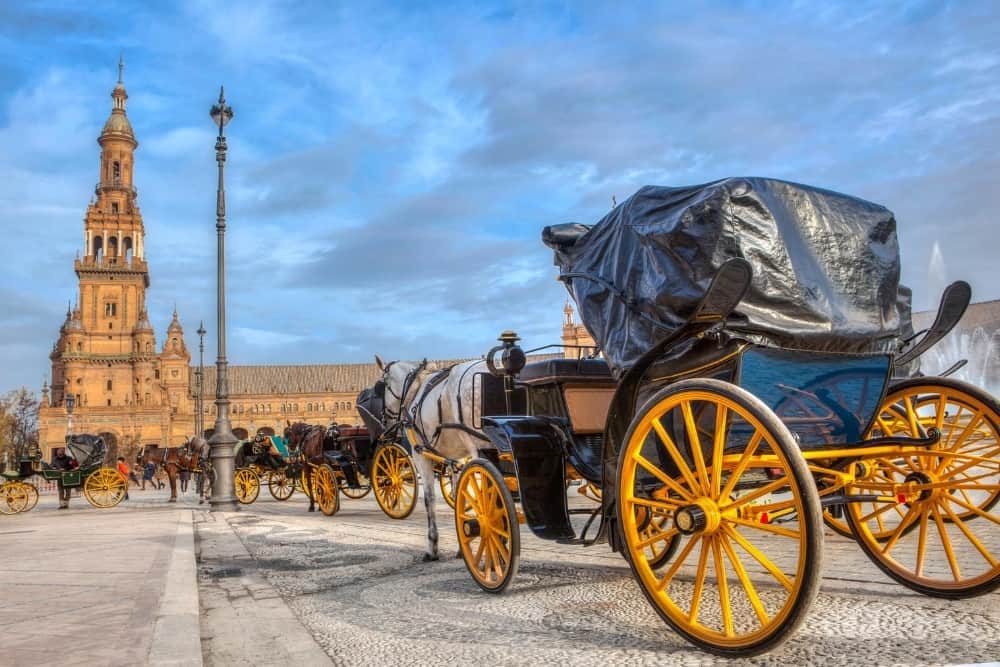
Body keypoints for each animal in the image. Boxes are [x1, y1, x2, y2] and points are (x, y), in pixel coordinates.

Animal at [374, 354, 490, 564]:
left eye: (382, 386)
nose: (384, 422)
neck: (415, 388)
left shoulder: (421, 456)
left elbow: (430, 500)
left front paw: (432, 547)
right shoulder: (456, 459)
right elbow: (459, 498)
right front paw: (462, 546)